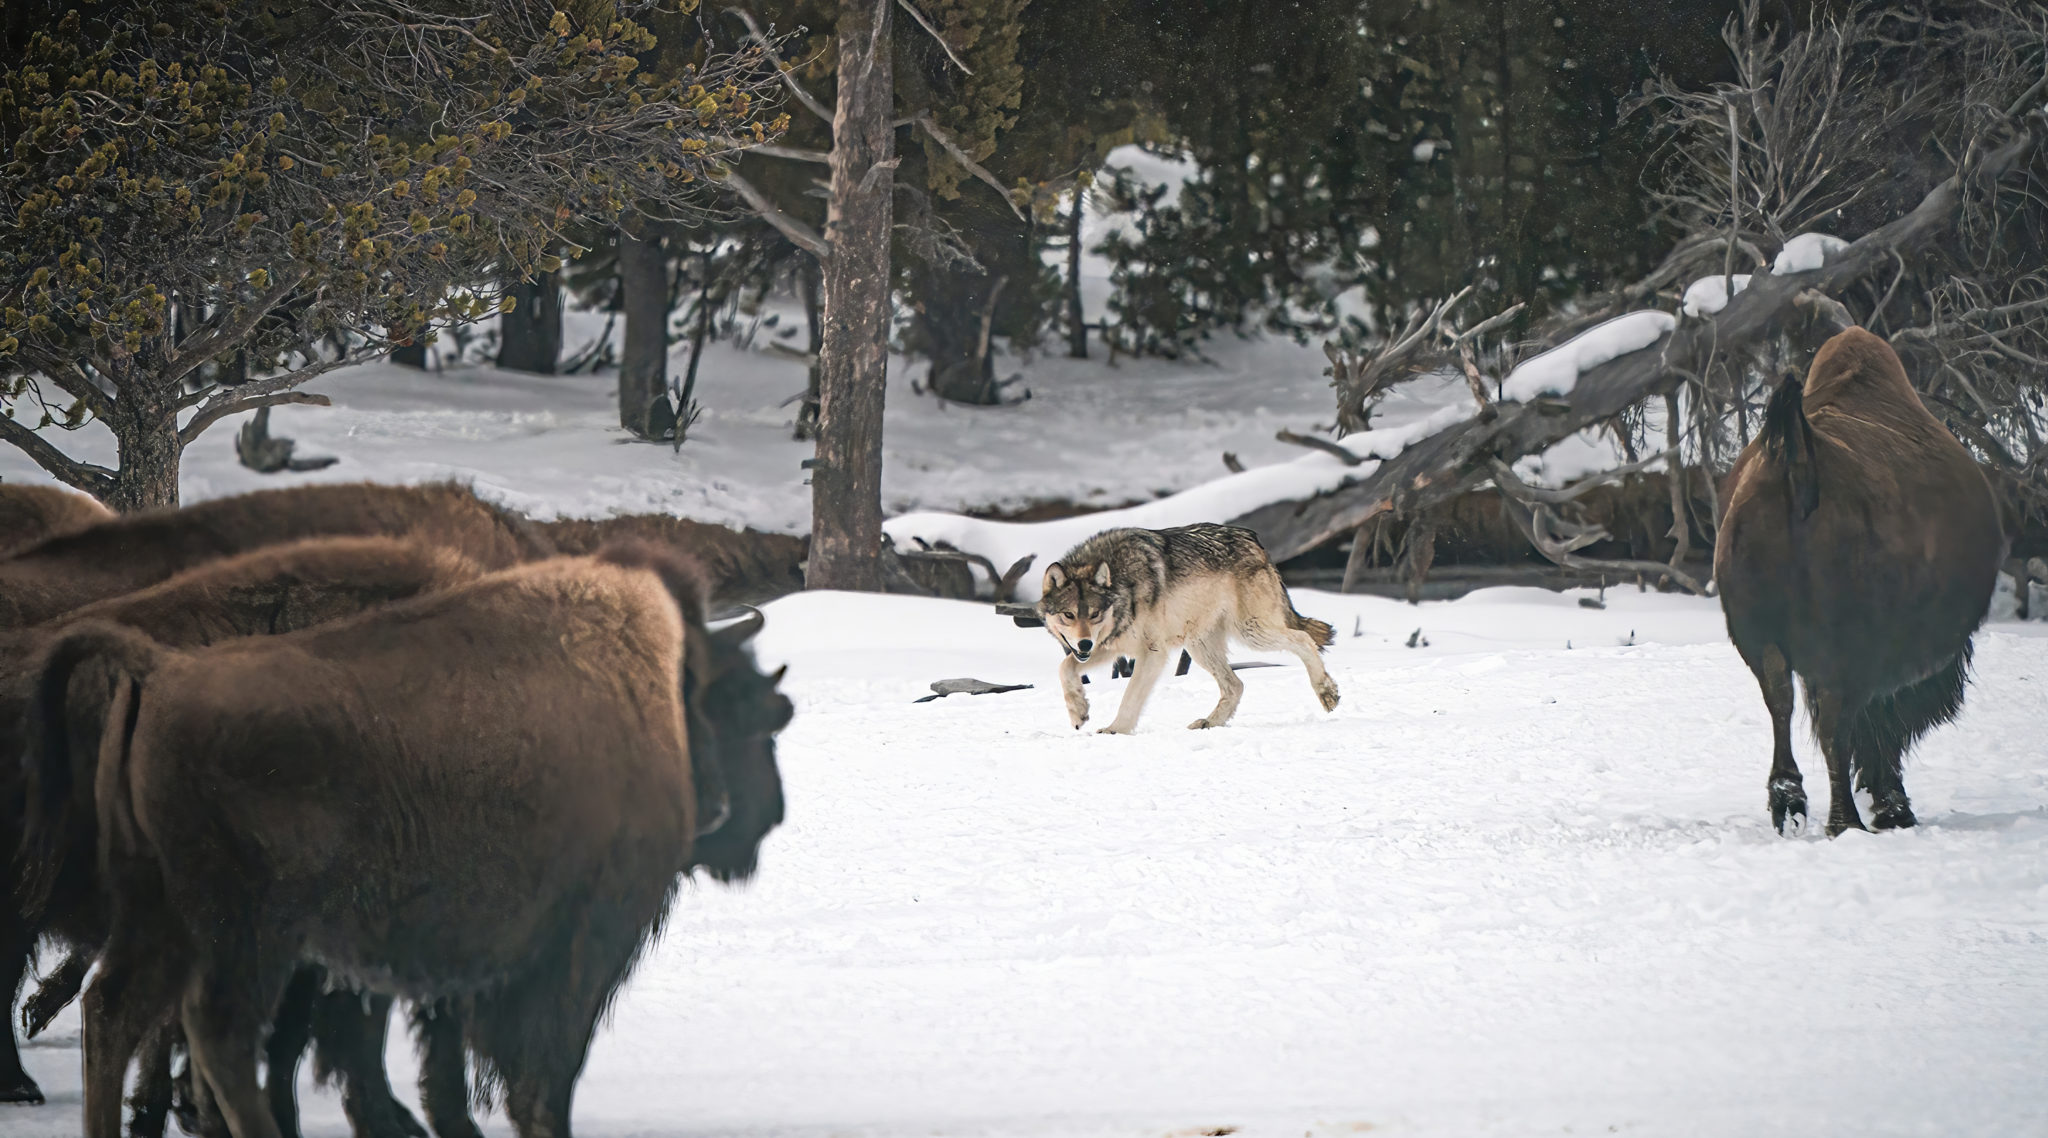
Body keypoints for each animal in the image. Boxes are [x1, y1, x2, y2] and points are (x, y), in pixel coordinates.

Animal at [1037, 523, 1340, 734]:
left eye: (1095, 614)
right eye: (1068, 615)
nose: (1084, 644)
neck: (1124, 587)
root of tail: (1254, 539)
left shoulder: (1152, 652)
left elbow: (1130, 697)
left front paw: (1116, 730)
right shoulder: (1110, 646)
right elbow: (1065, 667)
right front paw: (1079, 712)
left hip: (1251, 632)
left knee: (1303, 638)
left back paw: (1326, 691)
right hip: (1199, 646)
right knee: (1236, 685)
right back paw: (1209, 722)